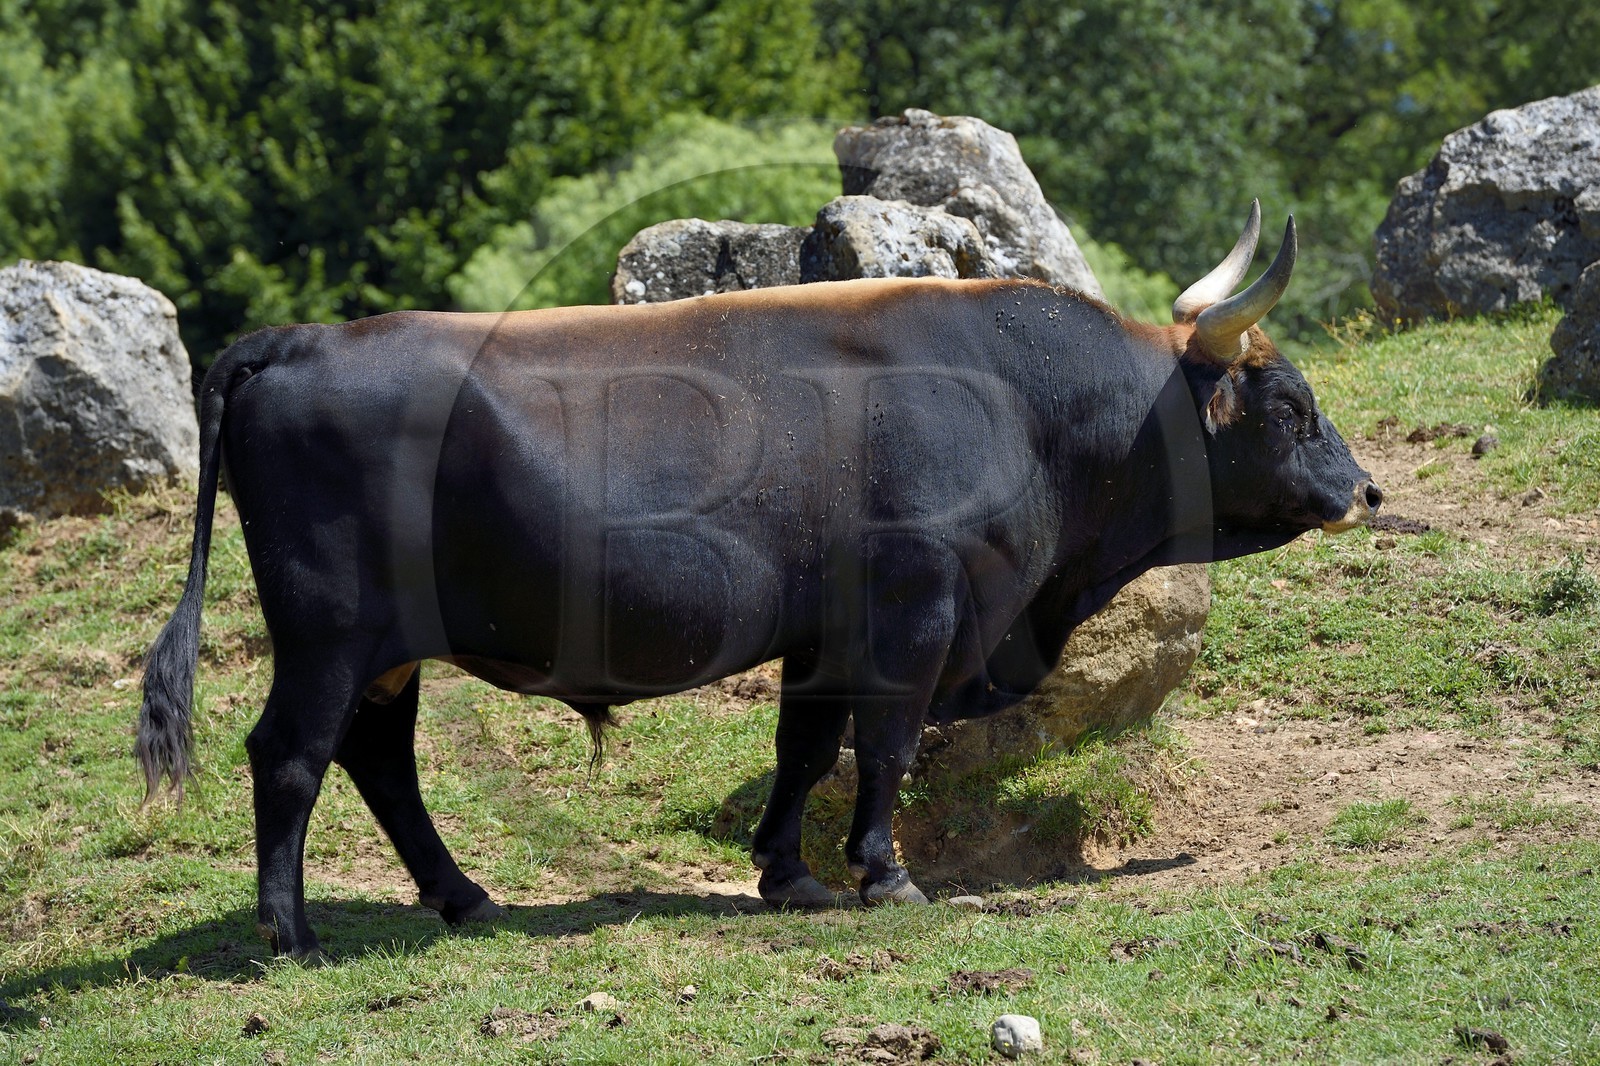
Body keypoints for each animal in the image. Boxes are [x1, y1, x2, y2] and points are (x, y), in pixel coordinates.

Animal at [138, 202, 1379, 958]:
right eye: (1288, 406)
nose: (1364, 490)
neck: (1022, 401)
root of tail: (298, 340)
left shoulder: (824, 633)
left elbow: (805, 748)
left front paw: (790, 874)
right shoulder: (914, 614)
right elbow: (883, 748)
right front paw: (883, 874)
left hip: (387, 649)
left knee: (378, 760)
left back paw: (463, 895)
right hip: (329, 630)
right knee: (291, 755)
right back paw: (292, 932)